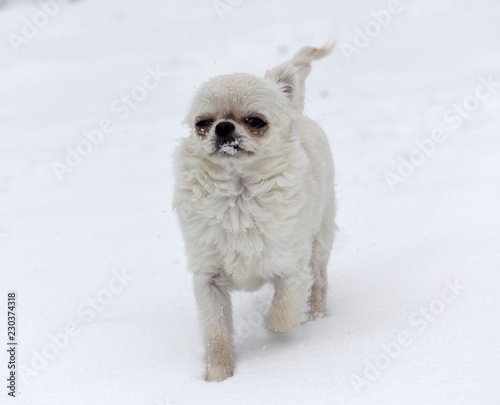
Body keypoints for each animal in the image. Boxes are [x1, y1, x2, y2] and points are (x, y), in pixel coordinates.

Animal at [172, 42, 336, 380]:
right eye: (202, 123)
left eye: (256, 121)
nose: (223, 127)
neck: (238, 198)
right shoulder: (207, 280)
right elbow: (216, 333)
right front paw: (218, 377)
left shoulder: (292, 268)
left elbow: (282, 314)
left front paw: (275, 325)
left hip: (320, 241)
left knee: (319, 281)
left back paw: (314, 316)